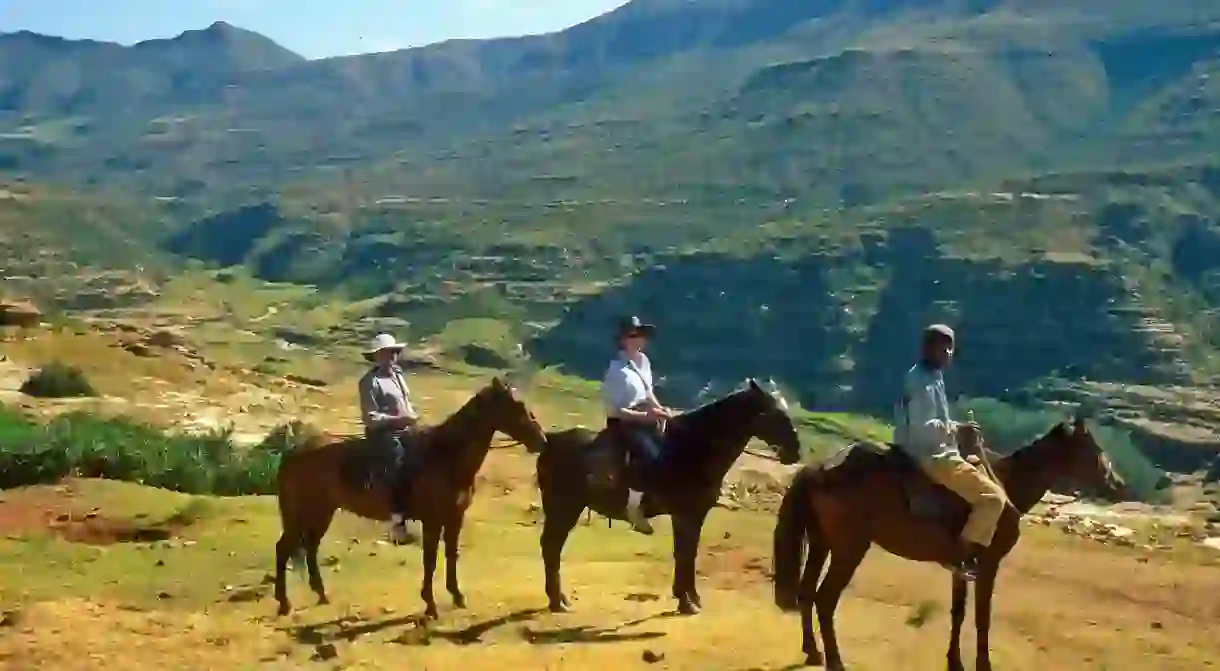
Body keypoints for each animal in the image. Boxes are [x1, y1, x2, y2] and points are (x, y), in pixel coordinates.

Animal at [276, 378, 549, 619]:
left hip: (322, 511)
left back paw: (321, 594)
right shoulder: (432, 521)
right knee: (284, 548)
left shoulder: (454, 518)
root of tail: (295, 451)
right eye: (516, 405)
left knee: (310, 546)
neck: (445, 456)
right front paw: (430, 604)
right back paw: (284, 603)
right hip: (303, 512)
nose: (542, 441)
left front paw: (457, 596)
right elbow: (430, 561)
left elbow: (451, 555)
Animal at [531, 378, 800, 614]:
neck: (693, 449)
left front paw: (689, 597)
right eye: (773, 414)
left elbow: (687, 553)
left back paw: (558, 599)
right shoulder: (686, 515)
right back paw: (557, 601)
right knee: (551, 546)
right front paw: (687, 602)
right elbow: (684, 554)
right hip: (563, 508)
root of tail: (549, 442)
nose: (795, 451)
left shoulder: (693, 515)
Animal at [775, 414, 1127, 671]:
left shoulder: (962, 567)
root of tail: (818, 468)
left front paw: (954, 662)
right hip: (849, 549)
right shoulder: (988, 564)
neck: (1006, 485)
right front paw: (983, 665)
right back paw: (835, 661)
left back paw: (813, 652)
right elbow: (982, 617)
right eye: (1092, 446)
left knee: (807, 592)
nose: (1118, 483)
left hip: (821, 543)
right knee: (824, 599)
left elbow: (958, 612)